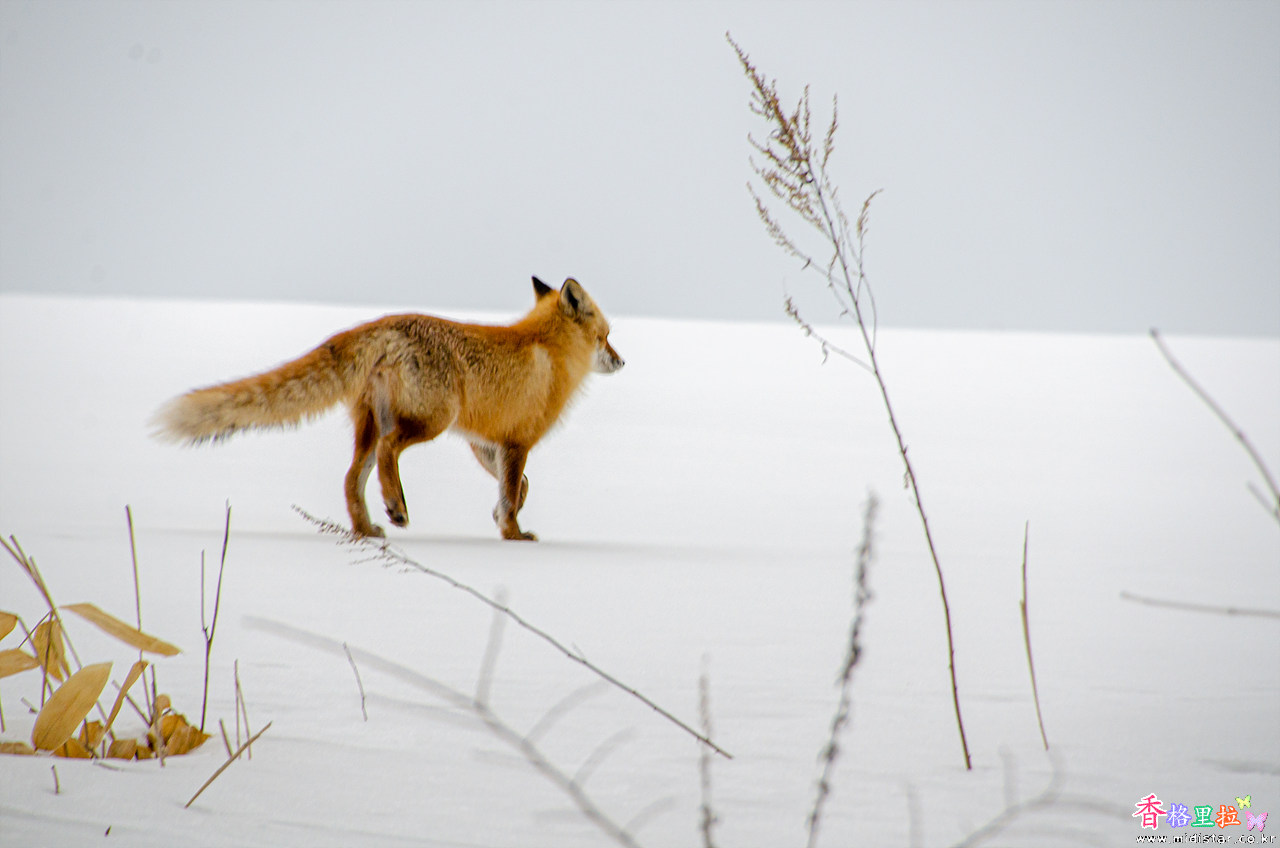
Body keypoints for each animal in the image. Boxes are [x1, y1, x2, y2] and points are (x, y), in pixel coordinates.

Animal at [153, 276, 624, 541]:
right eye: (606, 337)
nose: (622, 362)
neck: (550, 350)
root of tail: (382, 325)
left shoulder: (484, 441)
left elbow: (519, 488)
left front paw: (501, 516)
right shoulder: (516, 442)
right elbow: (512, 493)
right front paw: (514, 534)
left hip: (372, 424)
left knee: (351, 478)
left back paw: (366, 530)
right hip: (429, 421)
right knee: (388, 453)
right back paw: (396, 507)